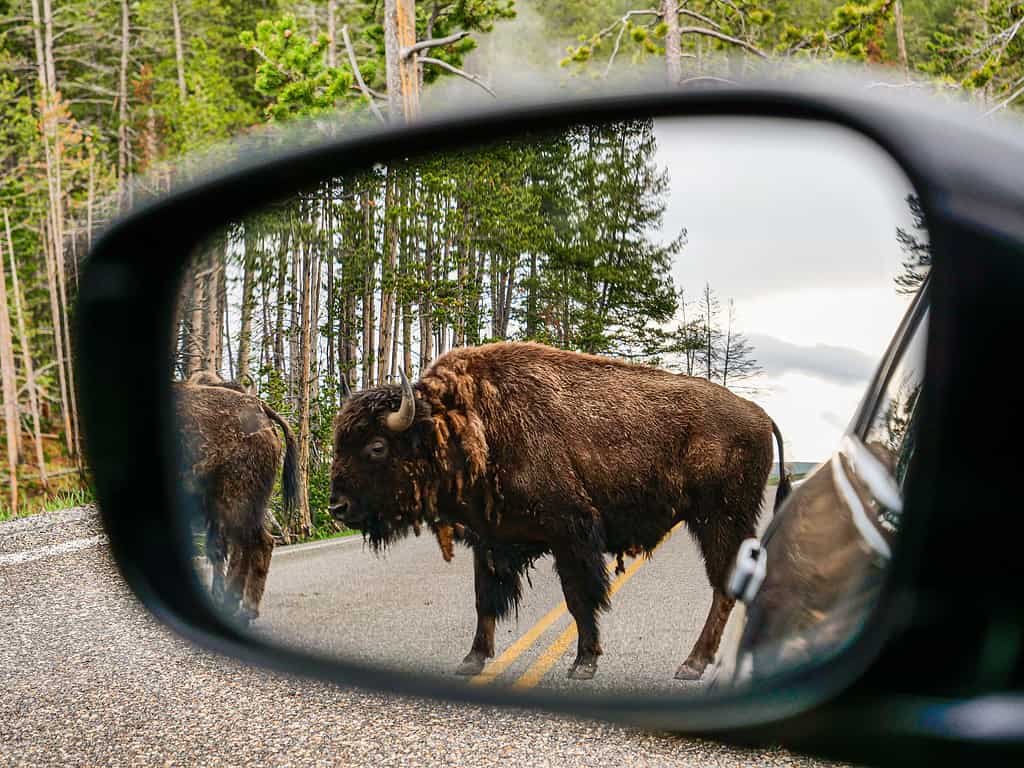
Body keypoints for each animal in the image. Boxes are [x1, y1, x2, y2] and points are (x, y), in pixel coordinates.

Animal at [173, 374, 299, 626]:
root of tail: (260, 408)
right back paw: (232, 605)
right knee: (245, 545)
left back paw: (243, 610)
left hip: (236, 499)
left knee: (258, 543)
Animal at [329, 346, 790, 684]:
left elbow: (578, 597)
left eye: (376, 446)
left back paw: (692, 665)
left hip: (721, 519)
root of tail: (760, 415)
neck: (459, 422)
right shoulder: (489, 539)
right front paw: (472, 659)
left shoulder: (571, 534)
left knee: (724, 587)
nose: (337, 507)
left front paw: (583, 663)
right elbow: (484, 600)